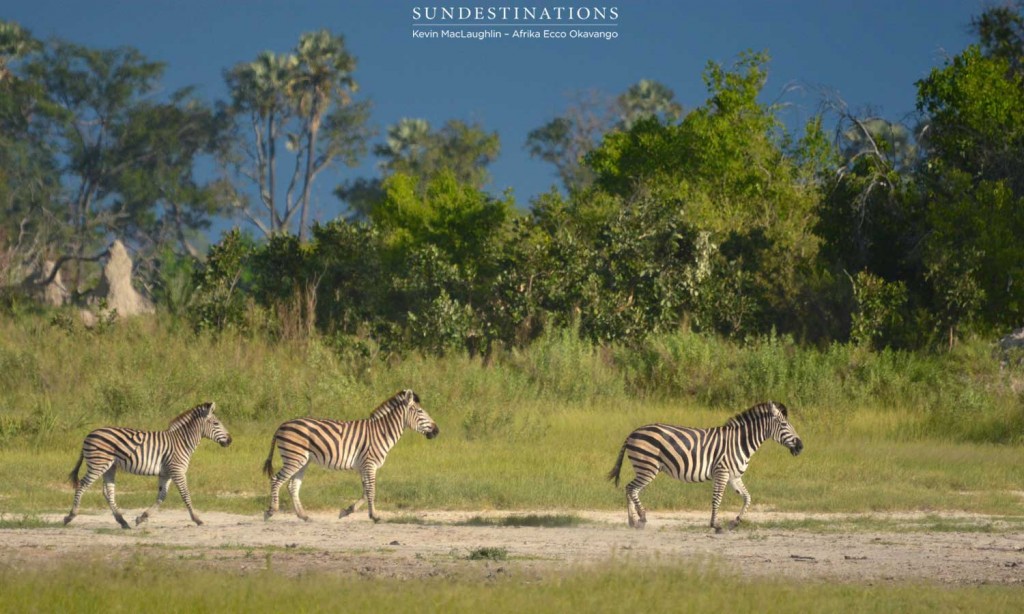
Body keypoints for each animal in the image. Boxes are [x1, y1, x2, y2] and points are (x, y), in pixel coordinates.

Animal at [64, 403, 232, 528]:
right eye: (216, 423)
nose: (230, 440)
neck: (182, 442)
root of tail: (90, 434)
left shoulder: (166, 473)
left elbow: (162, 496)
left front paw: (142, 517)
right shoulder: (177, 470)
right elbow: (185, 495)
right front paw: (197, 519)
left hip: (110, 467)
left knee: (108, 492)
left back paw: (122, 521)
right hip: (98, 464)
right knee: (82, 485)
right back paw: (70, 516)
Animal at [262, 388, 438, 521]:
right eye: (420, 411)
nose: (437, 431)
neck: (381, 432)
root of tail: (282, 425)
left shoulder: (363, 466)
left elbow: (365, 491)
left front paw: (346, 511)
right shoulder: (370, 464)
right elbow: (371, 490)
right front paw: (374, 516)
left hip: (303, 461)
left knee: (293, 486)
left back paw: (303, 515)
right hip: (294, 458)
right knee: (276, 480)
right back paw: (271, 511)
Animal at [602, 401, 802, 528]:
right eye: (784, 425)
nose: (801, 446)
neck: (740, 442)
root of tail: (633, 432)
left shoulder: (734, 476)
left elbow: (748, 498)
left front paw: (735, 521)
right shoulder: (722, 472)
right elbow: (717, 498)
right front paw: (715, 524)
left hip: (644, 468)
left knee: (631, 490)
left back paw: (632, 521)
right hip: (647, 467)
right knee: (631, 489)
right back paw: (641, 519)